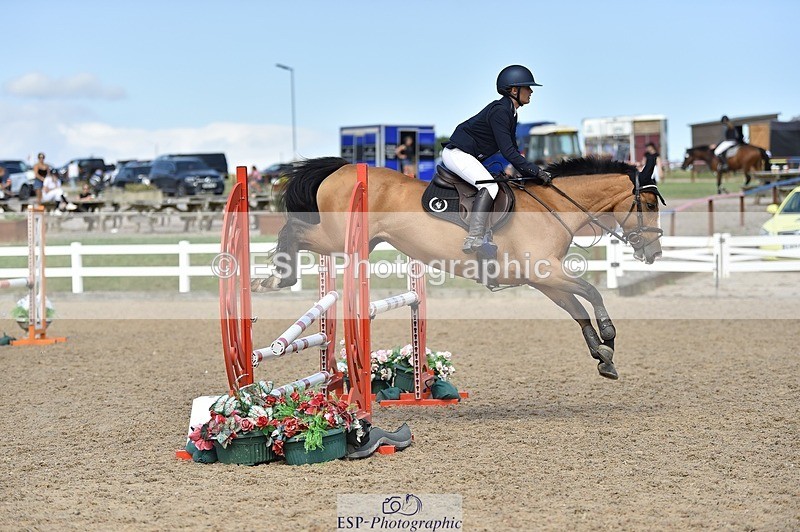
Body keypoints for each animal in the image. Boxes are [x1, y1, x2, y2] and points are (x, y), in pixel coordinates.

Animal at [255, 156, 665, 380]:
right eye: (646, 204)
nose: (655, 251)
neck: (553, 207)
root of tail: (341, 169)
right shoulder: (546, 272)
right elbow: (591, 291)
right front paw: (609, 336)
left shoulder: (544, 280)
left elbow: (578, 310)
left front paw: (603, 357)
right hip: (336, 236)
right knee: (294, 229)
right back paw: (274, 278)